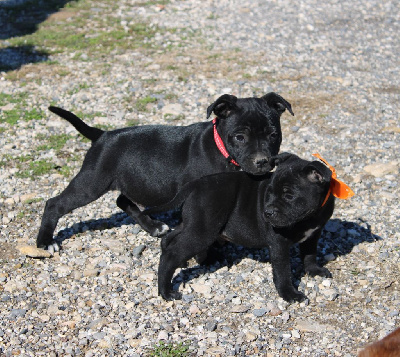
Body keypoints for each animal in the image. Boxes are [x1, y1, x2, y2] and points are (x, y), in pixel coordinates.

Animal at [36, 92, 294, 253]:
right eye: (240, 137)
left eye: (273, 135)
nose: (263, 161)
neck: (222, 150)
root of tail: (102, 135)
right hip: (92, 182)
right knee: (55, 203)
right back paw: (45, 241)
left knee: (122, 201)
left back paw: (153, 227)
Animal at [146, 152, 354, 302]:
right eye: (269, 192)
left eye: (289, 196)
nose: (267, 212)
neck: (309, 217)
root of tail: (194, 185)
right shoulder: (279, 243)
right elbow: (283, 271)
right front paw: (289, 294)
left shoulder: (313, 235)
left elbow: (309, 254)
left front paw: (314, 271)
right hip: (202, 231)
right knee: (171, 254)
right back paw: (166, 291)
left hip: (194, 223)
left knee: (170, 238)